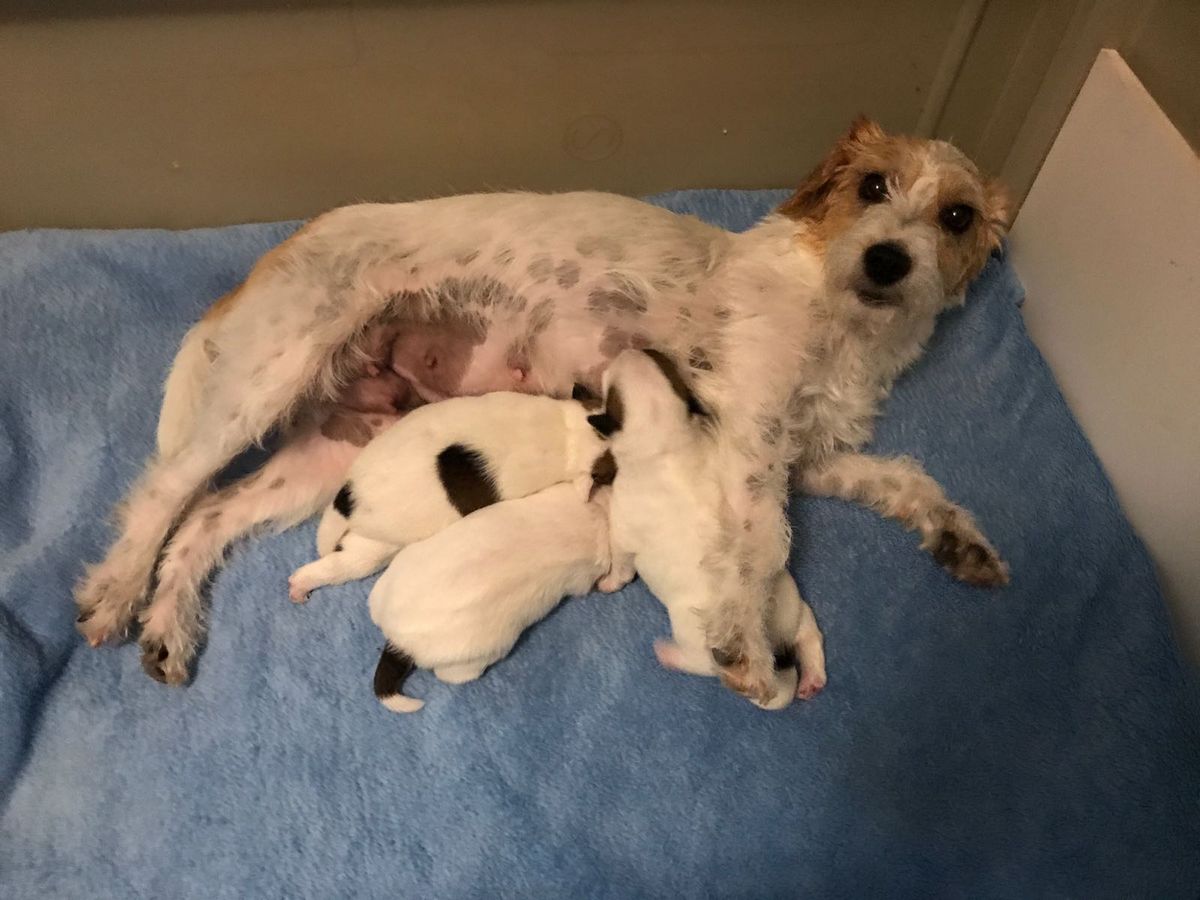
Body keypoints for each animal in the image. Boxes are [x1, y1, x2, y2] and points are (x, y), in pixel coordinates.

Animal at [369, 482, 613, 713]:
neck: (594, 515)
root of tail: (399, 642)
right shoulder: (584, 574)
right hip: (470, 659)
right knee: (450, 675)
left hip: (392, 576)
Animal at [595, 348, 826, 709]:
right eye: (659, 359)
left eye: (607, 388)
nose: (630, 347)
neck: (666, 443)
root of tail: (765, 650)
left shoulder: (622, 535)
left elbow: (619, 567)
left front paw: (607, 583)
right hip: (789, 600)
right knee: (808, 631)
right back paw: (813, 678)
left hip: (695, 635)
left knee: (701, 665)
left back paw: (668, 654)